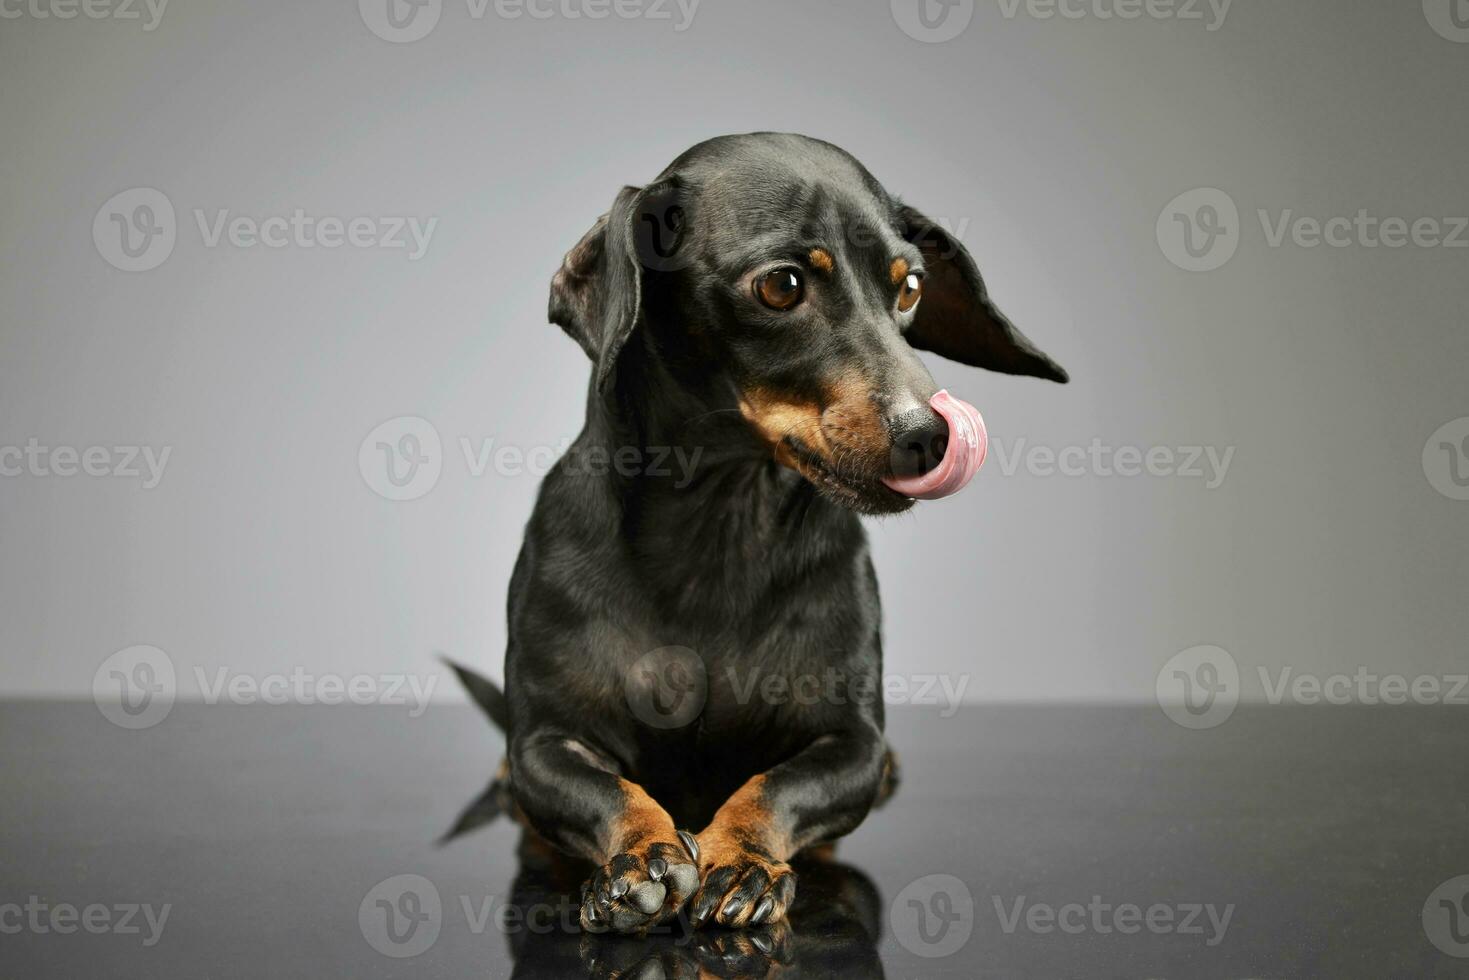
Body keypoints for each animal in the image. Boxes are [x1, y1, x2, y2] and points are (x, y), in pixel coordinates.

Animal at [487, 130, 1063, 934]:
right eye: (782, 287)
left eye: (910, 288)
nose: (932, 434)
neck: (720, 528)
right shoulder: (543, 745)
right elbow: (607, 791)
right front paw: (640, 856)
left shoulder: (854, 748)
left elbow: (774, 787)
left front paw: (742, 858)